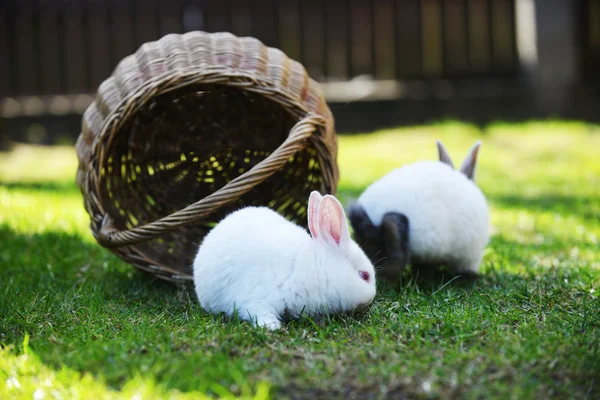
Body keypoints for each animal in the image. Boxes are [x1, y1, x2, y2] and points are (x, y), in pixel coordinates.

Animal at [192, 191, 376, 332]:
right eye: (364, 276)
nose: (372, 297)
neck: (312, 269)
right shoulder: (255, 300)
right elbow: (257, 311)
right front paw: (272, 327)